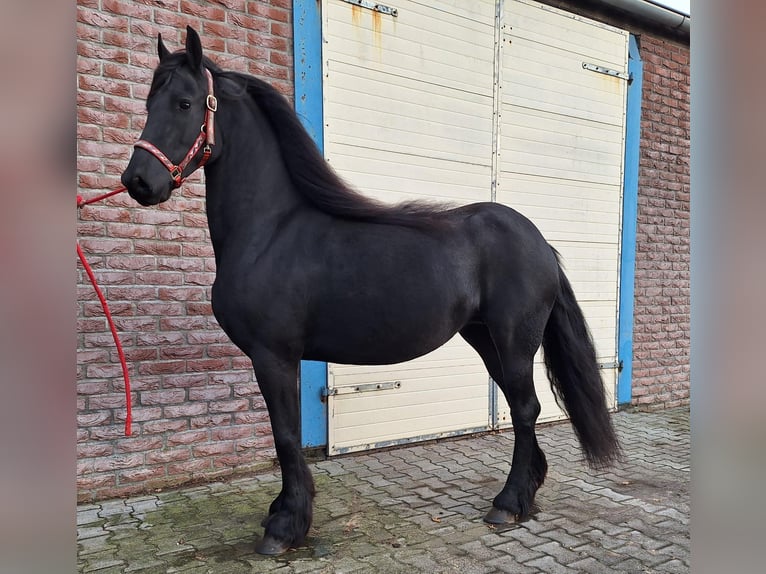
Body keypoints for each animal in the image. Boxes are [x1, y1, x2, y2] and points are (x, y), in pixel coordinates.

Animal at [121, 26, 620, 555]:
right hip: (486, 340)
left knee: (525, 409)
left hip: (513, 340)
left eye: (185, 103)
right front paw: (281, 511)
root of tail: (538, 240)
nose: (138, 181)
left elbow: (285, 435)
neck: (271, 231)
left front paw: (286, 526)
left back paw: (508, 503)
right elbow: (285, 435)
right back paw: (526, 491)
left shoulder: (273, 356)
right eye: (150, 101)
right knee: (522, 407)